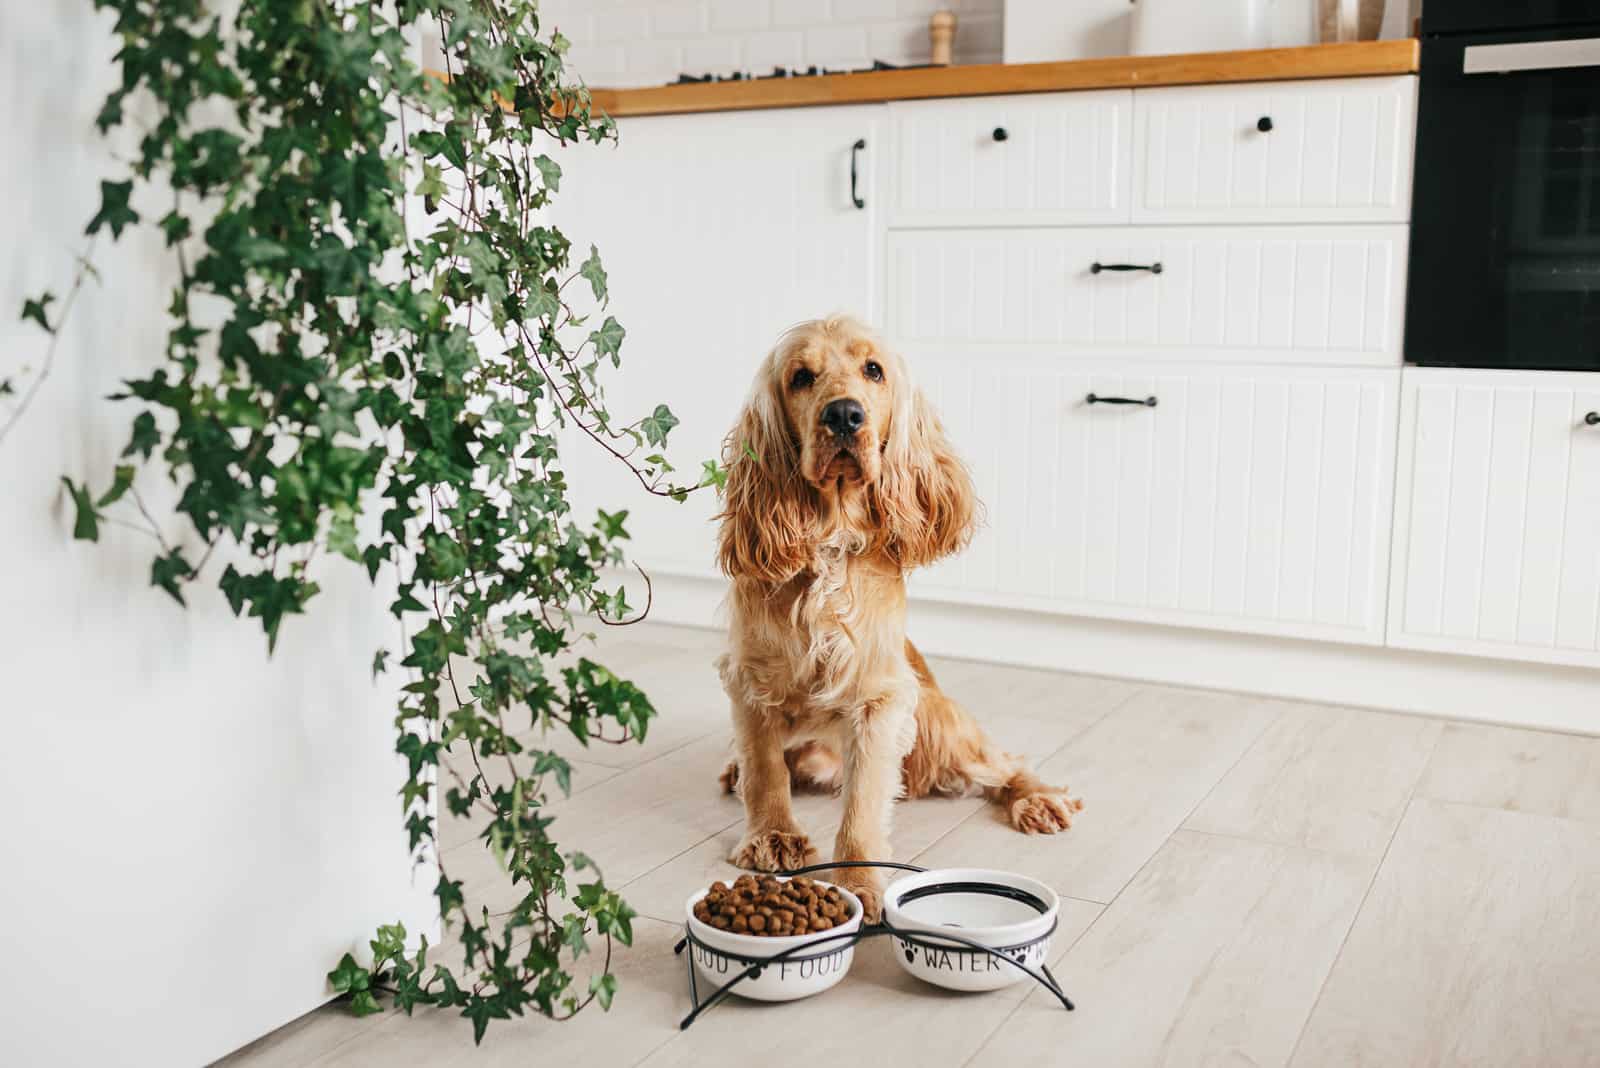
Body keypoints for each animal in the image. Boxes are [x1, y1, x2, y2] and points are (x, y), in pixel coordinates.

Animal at [716, 310, 1081, 920]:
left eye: (873, 370)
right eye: (800, 377)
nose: (844, 414)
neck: (831, 542)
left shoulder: (878, 699)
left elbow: (863, 798)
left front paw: (859, 879)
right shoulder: (750, 682)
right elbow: (766, 771)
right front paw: (773, 837)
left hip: (941, 726)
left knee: (1005, 761)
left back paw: (1036, 800)